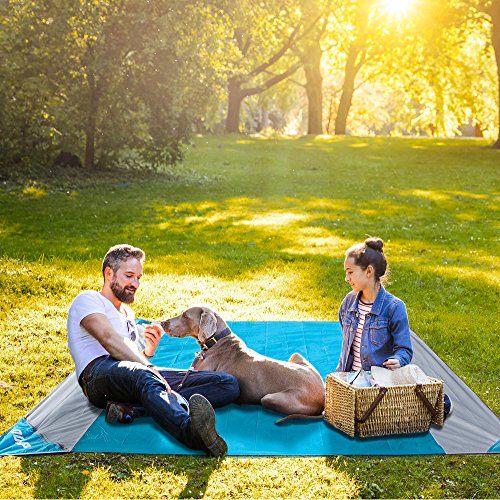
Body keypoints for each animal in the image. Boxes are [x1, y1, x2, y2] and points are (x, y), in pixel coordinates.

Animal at [160, 306, 324, 420]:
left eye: (185, 315)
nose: (162, 322)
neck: (216, 341)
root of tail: (323, 396)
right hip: (297, 355)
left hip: (270, 398)